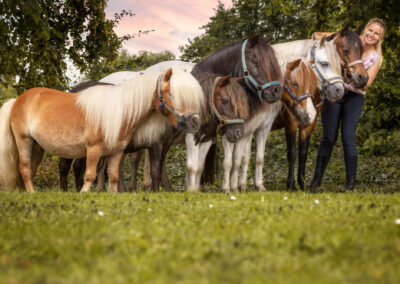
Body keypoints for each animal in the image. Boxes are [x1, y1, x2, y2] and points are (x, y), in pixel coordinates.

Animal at [0, 69, 205, 193]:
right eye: (173, 94)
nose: (195, 122)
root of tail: (17, 100)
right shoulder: (151, 145)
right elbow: (154, 170)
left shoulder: (123, 150)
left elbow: (115, 175)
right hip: (28, 141)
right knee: (41, 168)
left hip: (39, 146)